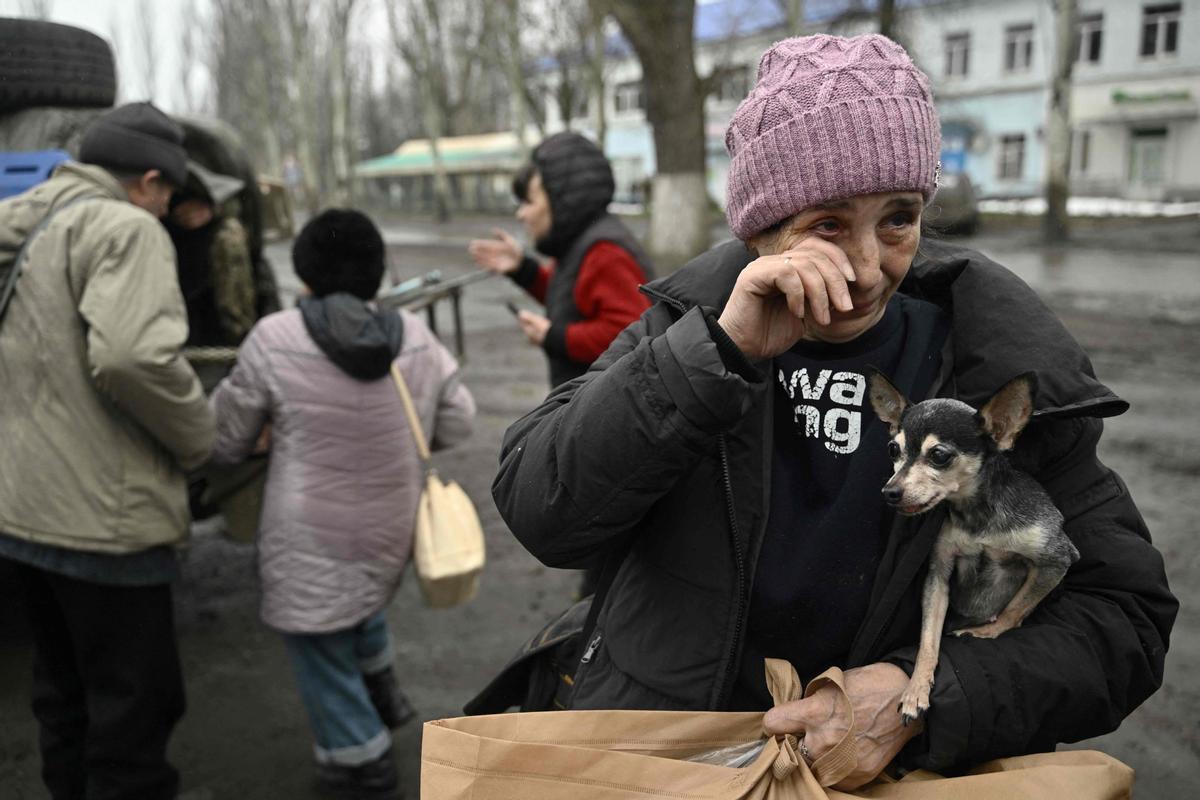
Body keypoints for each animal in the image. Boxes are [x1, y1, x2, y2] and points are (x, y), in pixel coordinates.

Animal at [868, 369, 1084, 724]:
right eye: (892, 450)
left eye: (939, 455)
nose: (890, 492)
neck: (975, 516)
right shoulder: (938, 576)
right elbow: (928, 639)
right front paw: (916, 689)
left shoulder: (1058, 558)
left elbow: (1016, 607)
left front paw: (985, 633)